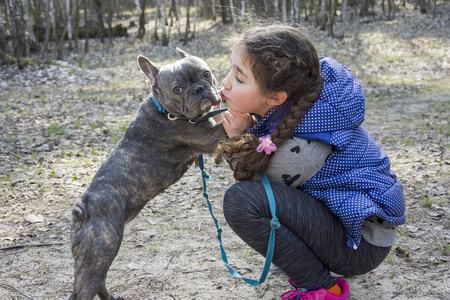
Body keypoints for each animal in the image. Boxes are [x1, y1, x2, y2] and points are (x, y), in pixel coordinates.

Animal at [69, 48, 227, 298]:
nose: (199, 89)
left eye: (206, 73)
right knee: (85, 288)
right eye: (177, 89)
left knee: (99, 280)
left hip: (94, 258)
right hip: (100, 252)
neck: (166, 111)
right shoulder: (212, 136)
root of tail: (81, 210)